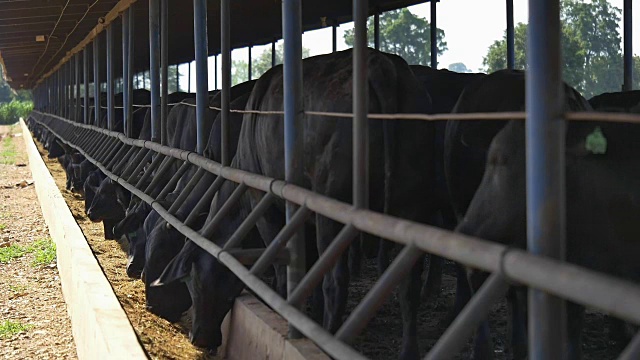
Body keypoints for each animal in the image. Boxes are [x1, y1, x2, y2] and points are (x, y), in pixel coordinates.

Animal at [156, 48, 436, 360]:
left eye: (191, 280)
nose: (199, 337)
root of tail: (380, 65)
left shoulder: (267, 209)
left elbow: (284, 267)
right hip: (410, 203)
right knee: (408, 285)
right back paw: (408, 350)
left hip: (334, 210)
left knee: (336, 281)